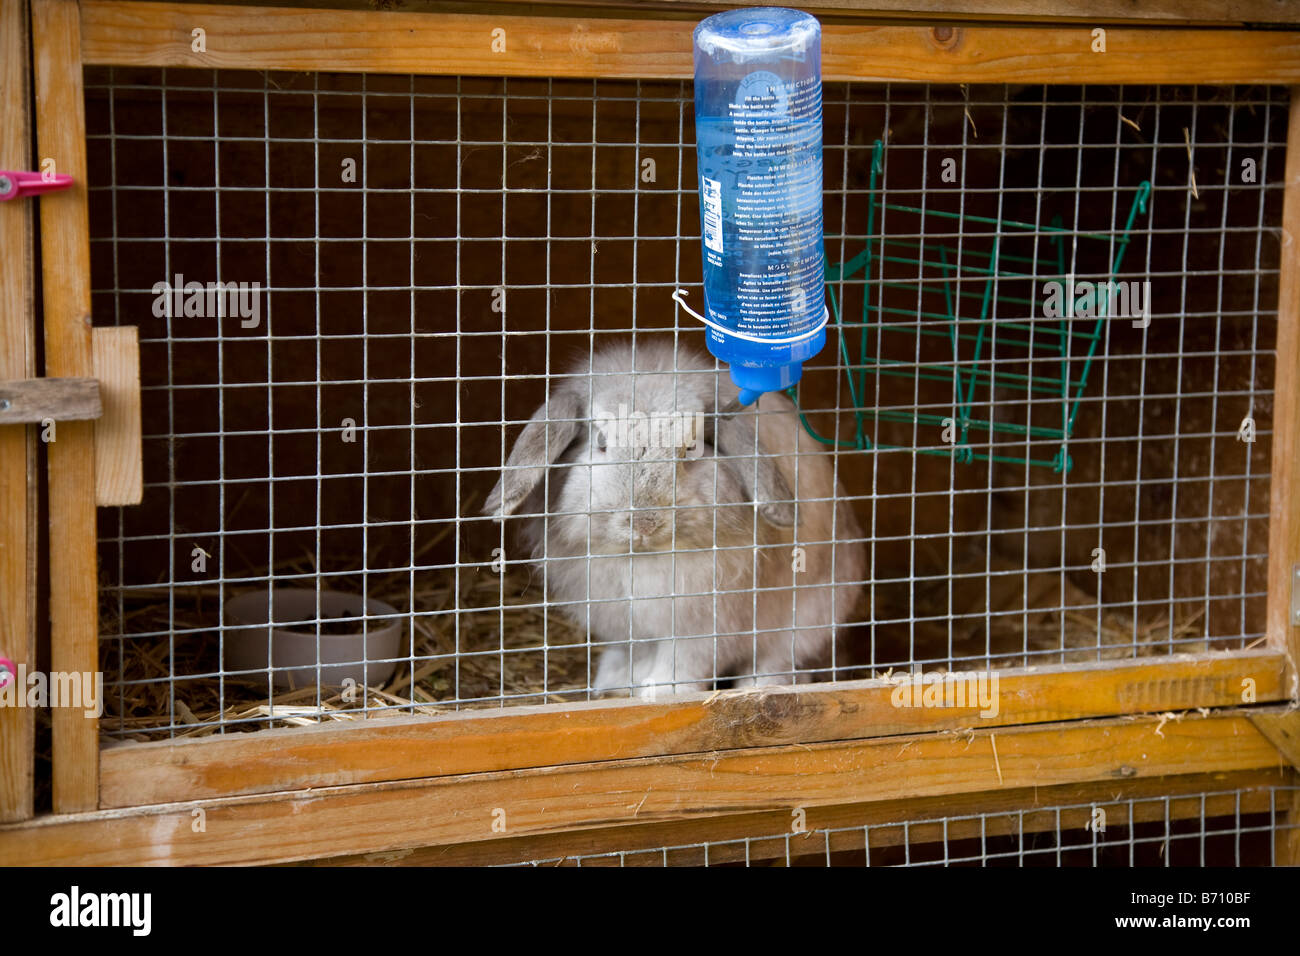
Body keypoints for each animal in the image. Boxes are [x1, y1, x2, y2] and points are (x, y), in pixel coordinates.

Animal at [484, 339, 865, 699]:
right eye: (602, 443)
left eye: (691, 449)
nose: (643, 523)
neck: (643, 558)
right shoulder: (624, 623)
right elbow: (631, 654)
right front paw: (617, 686)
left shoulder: (704, 625)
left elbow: (683, 661)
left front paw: (661, 692)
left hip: (808, 621)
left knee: (779, 659)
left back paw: (760, 685)